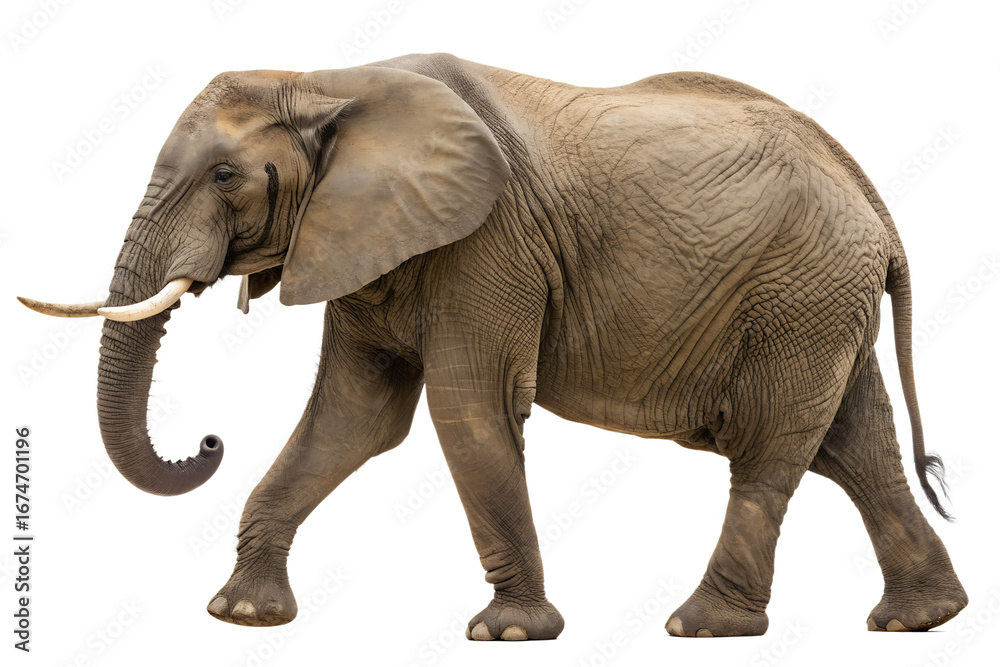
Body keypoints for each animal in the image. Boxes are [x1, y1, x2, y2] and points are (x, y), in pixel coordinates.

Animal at [20, 52, 967, 640]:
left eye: (224, 176)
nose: (210, 440)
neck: (326, 82)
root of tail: (876, 204)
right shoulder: (366, 244)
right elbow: (352, 419)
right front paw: (242, 616)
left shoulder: (488, 244)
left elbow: (465, 410)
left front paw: (508, 631)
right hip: (820, 300)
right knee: (856, 448)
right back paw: (921, 619)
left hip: (799, 295)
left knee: (773, 449)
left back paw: (702, 625)